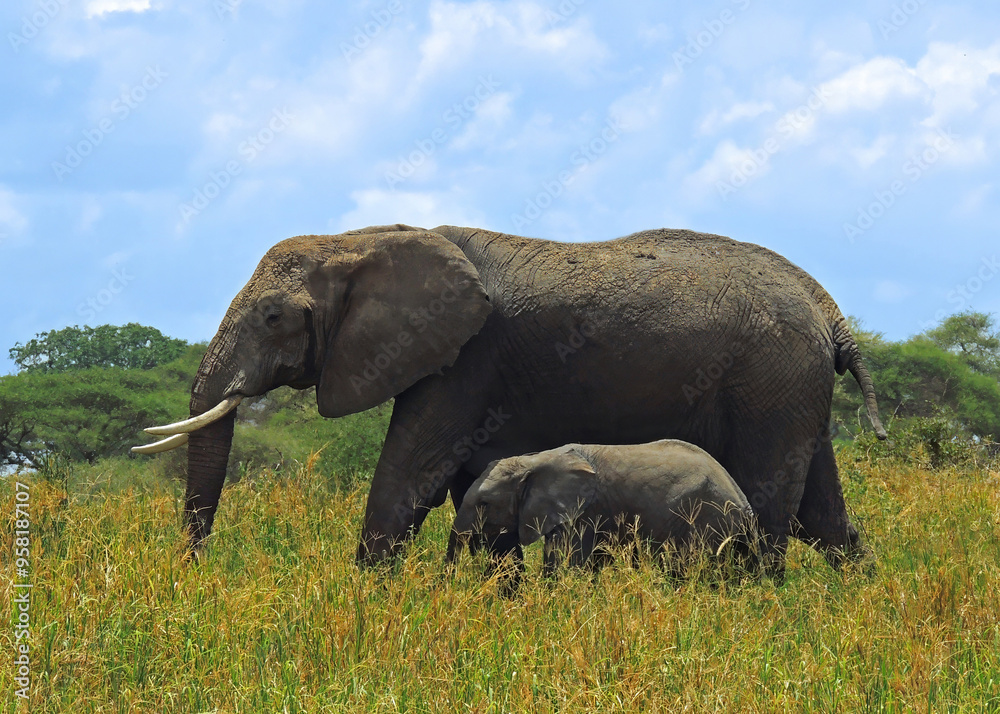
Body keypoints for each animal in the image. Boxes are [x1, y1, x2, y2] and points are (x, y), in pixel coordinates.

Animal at [447, 440, 759, 577]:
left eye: (484, 504)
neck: (534, 460)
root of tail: (745, 503)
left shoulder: (586, 511)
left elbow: (574, 560)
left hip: (707, 518)